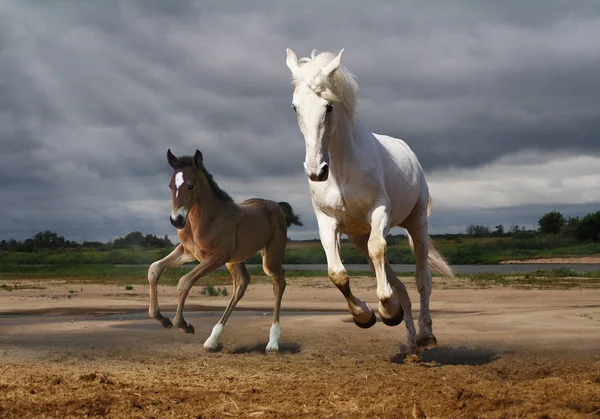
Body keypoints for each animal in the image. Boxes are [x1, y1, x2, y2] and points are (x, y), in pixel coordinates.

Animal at [286, 49, 454, 358]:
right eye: (295, 107)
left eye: (329, 106)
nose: (316, 171)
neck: (341, 169)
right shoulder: (328, 221)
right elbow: (337, 273)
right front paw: (367, 316)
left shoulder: (379, 211)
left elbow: (380, 250)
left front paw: (386, 311)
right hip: (358, 235)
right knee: (399, 285)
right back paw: (412, 346)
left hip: (416, 223)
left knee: (422, 280)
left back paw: (426, 336)